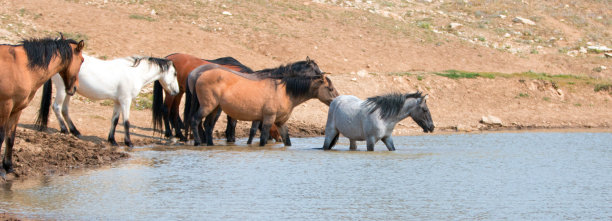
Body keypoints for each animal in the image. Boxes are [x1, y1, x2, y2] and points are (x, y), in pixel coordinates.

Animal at [0, 34, 83, 178]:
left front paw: (8, 167)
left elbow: (10, 138)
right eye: (82, 60)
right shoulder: (5, 106)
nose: (74, 88)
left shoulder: (16, 109)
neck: (21, 66)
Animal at [36, 54, 180, 148]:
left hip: (69, 91)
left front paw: (112, 140)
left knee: (64, 109)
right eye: (174, 74)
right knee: (57, 107)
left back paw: (75, 131)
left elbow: (114, 121)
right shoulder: (125, 101)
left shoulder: (117, 102)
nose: (176, 91)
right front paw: (129, 143)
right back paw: (64, 130)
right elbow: (126, 122)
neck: (135, 73)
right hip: (62, 89)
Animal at [186, 57, 340, 147]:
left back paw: (210, 144)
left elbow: (286, 140)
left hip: (214, 108)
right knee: (195, 120)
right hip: (208, 106)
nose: (337, 99)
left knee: (208, 125)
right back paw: (198, 142)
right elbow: (261, 137)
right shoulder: (267, 118)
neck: (282, 90)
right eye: (330, 88)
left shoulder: (280, 122)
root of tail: (197, 74)